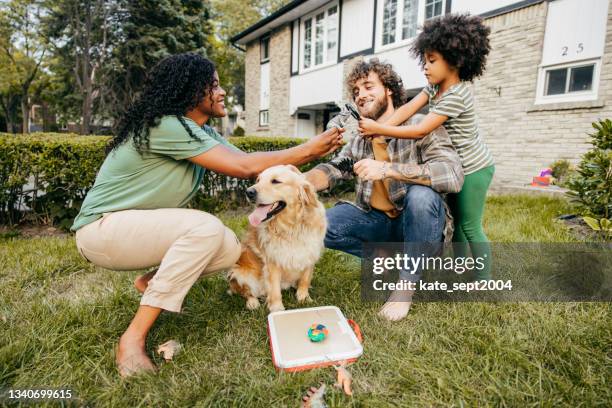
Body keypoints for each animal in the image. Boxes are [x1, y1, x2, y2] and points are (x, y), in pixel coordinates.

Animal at [227, 164, 328, 310]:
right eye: (258, 180)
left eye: (275, 181)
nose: (249, 192)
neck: (291, 226)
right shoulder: (272, 261)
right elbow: (274, 289)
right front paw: (277, 308)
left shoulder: (310, 253)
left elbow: (305, 279)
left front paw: (304, 298)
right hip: (239, 273)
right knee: (246, 292)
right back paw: (252, 302)